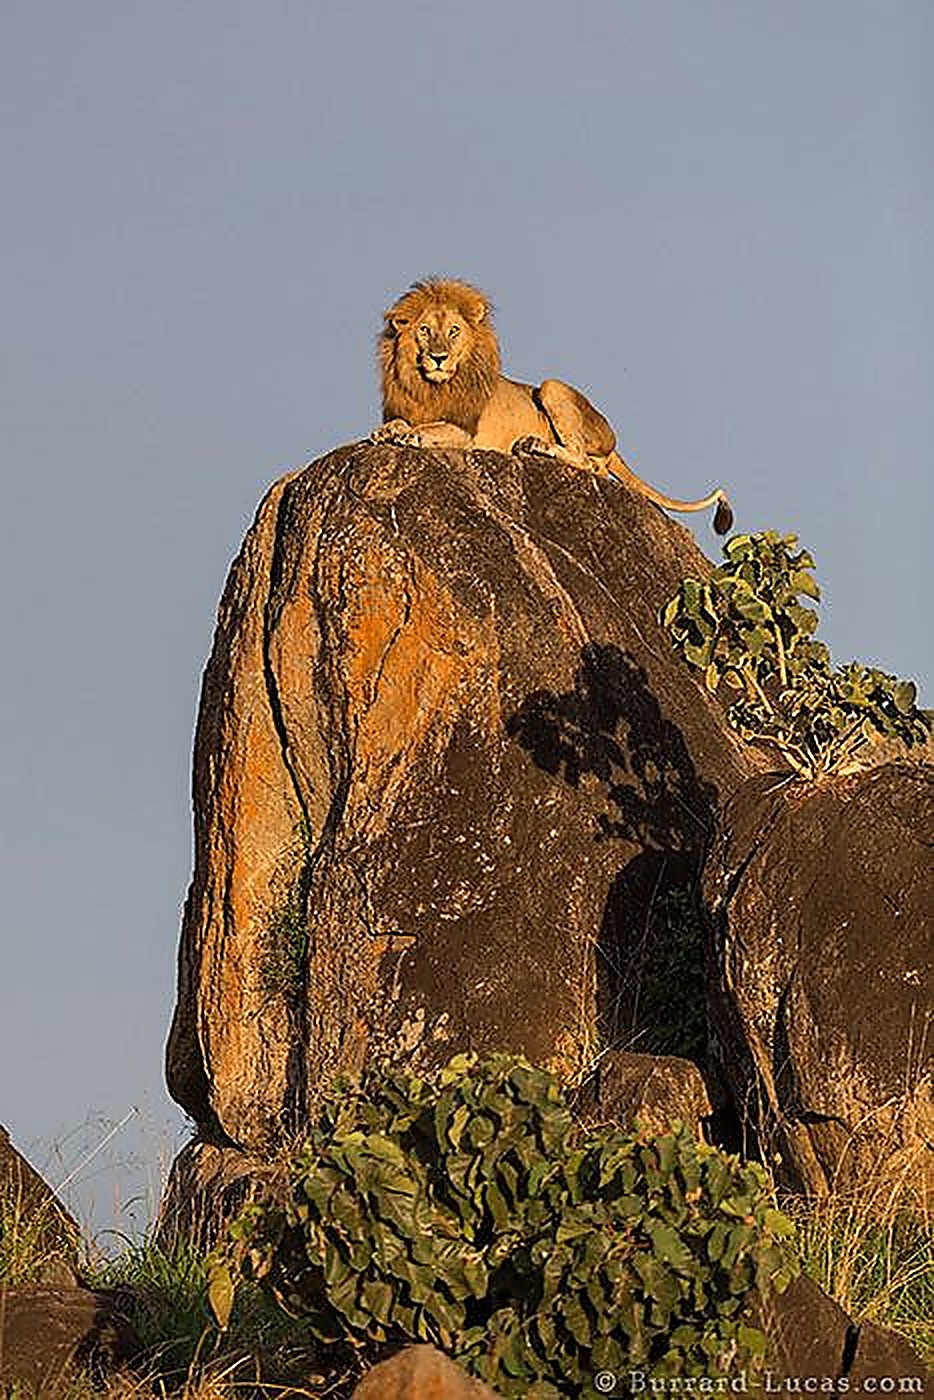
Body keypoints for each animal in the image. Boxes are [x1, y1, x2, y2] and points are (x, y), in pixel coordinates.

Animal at [372, 278, 733, 533]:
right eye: (424, 330)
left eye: (454, 331)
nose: (438, 357)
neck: (430, 387)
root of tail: (612, 441)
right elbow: (398, 423)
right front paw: (386, 432)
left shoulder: (465, 432)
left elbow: (434, 428)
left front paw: (412, 436)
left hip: (551, 387)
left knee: (584, 460)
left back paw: (535, 445)